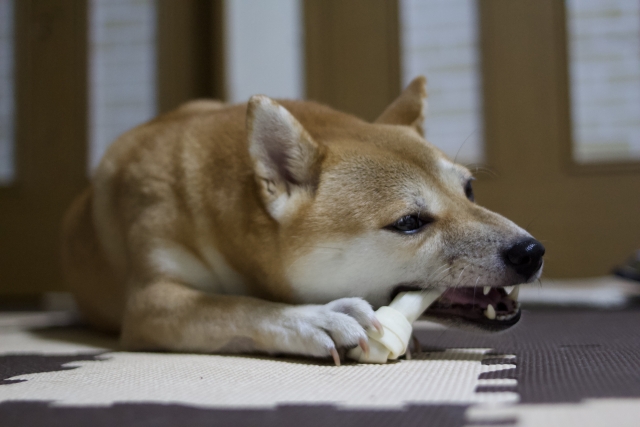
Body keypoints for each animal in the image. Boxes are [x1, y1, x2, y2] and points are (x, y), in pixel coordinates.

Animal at [62, 77, 544, 364]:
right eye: (409, 222)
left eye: (469, 190)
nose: (532, 251)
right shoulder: (151, 301)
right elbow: (237, 307)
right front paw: (316, 319)